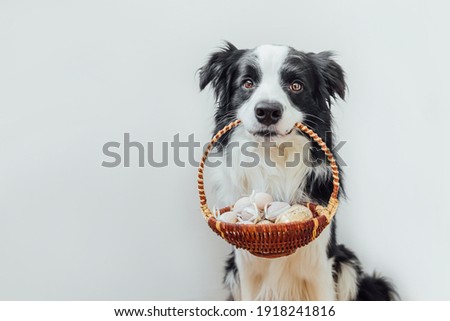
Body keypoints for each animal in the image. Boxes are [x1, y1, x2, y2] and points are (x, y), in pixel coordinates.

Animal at [199, 41, 396, 298]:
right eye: (247, 83)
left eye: (296, 85)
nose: (267, 111)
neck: (273, 158)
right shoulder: (245, 266)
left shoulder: (320, 263)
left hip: (348, 265)